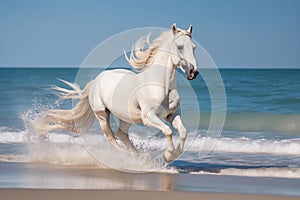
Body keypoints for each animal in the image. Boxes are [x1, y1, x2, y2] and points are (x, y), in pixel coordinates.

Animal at [34, 23, 199, 162]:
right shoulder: (149, 117)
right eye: (179, 46)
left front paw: (172, 156)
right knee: (110, 136)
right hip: (102, 115)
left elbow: (182, 131)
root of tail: (96, 81)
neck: (160, 84)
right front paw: (168, 155)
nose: (193, 72)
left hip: (127, 117)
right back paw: (125, 157)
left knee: (121, 134)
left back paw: (137, 157)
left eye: (194, 47)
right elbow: (168, 131)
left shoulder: (171, 115)